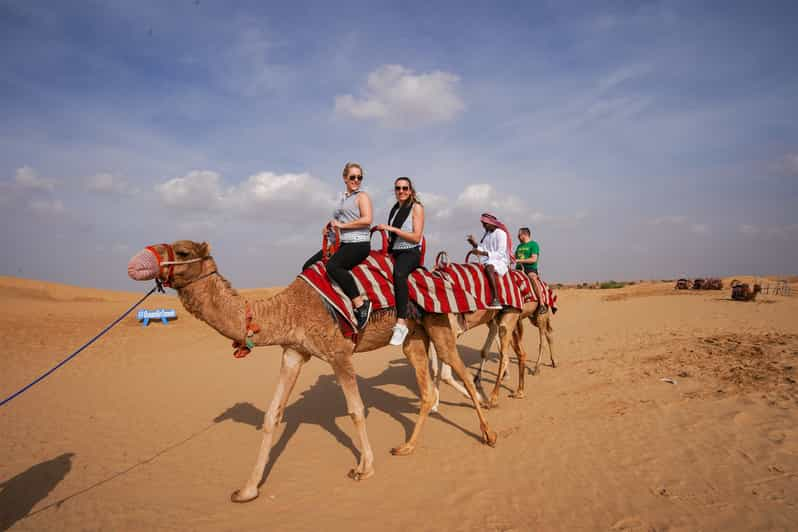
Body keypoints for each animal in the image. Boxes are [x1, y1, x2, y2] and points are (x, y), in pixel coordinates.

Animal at [126, 241, 500, 502]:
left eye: (183, 251)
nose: (137, 262)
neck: (285, 309)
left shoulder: (338, 352)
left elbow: (356, 410)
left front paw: (364, 468)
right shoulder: (294, 352)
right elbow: (272, 415)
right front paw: (247, 489)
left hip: (438, 322)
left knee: (458, 370)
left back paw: (489, 432)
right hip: (413, 334)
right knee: (426, 389)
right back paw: (406, 447)